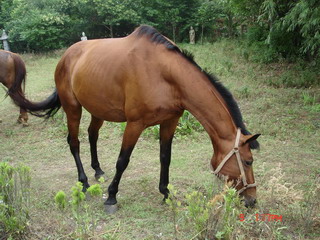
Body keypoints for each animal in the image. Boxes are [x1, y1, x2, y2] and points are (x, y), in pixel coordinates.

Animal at [10, 25, 260, 211]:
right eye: (248, 161)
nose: (252, 200)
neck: (165, 75)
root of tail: (66, 56)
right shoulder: (135, 124)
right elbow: (123, 160)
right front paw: (111, 197)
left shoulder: (170, 122)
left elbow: (165, 157)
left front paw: (166, 192)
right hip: (73, 108)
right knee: (74, 142)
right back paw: (84, 181)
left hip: (98, 110)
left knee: (92, 135)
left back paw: (98, 170)